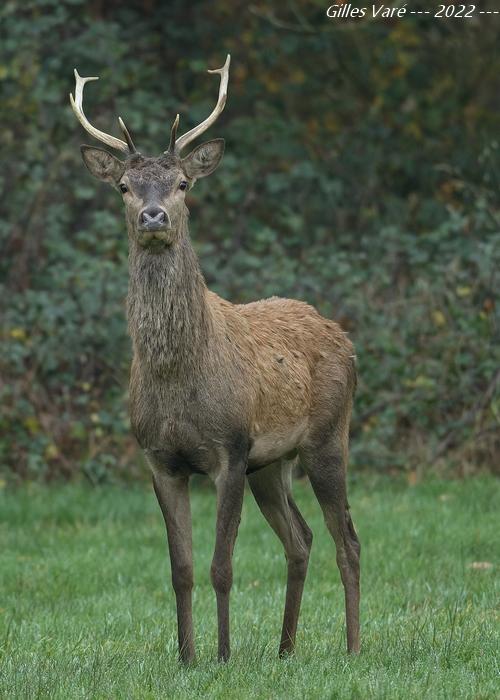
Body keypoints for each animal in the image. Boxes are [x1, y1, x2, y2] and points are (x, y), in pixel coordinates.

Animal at [69, 54, 360, 660]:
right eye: (125, 186)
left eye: (182, 183)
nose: (154, 217)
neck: (179, 376)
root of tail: (343, 337)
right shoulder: (160, 459)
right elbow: (180, 569)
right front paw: (186, 657)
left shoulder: (230, 448)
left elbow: (221, 566)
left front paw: (223, 657)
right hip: (273, 463)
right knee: (301, 538)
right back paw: (285, 648)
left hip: (328, 436)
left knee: (347, 537)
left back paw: (352, 647)